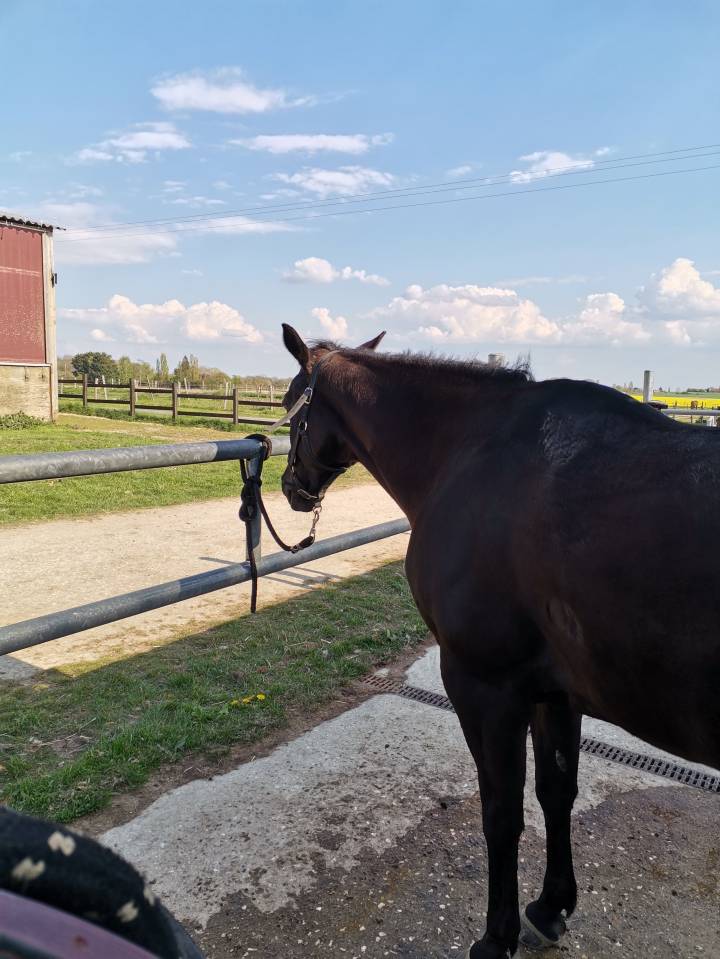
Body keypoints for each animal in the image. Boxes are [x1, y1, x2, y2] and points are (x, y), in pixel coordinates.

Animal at [277, 324, 720, 958]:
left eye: (291, 407)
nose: (291, 486)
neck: (471, 453)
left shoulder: (485, 689)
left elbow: (500, 813)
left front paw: (496, 936)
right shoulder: (555, 693)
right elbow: (557, 790)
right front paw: (550, 906)